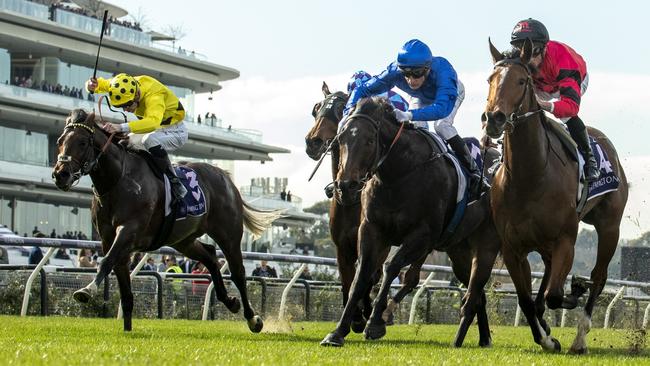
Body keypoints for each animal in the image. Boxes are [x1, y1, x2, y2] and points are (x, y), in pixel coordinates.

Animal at [51, 108, 280, 332]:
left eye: (82, 142)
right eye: (60, 141)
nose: (60, 175)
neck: (118, 180)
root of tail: (225, 176)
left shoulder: (129, 230)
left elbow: (106, 261)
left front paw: (86, 290)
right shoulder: (109, 239)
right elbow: (123, 286)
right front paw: (127, 330)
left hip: (228, 234)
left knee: (238, 272)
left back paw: (253, 319)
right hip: (183, 240)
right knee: (210, 257)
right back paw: (230, 301)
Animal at [318, 96, 502, 346]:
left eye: (369, 141)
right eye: (341, 140)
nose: (346, 186)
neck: (398, 174)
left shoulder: (422, 235)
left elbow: (391, 268)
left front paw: (375, 323)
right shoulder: (371, 230)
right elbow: (361, 275)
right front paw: (338, 331)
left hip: (485, 245)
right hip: (459, 251)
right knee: (477, 292)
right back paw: (483, 338)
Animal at [484, 38, 624, 354]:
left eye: (521, 81)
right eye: (490, 79)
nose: (494, 118)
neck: (530, 177)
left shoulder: (565, 240)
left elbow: (555, 295)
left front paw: (574, 292)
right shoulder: (512, 248)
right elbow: (526, 299)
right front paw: (546, 338)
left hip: (610, 227)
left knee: (598, 277)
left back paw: (580, 337)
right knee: (547, 278)